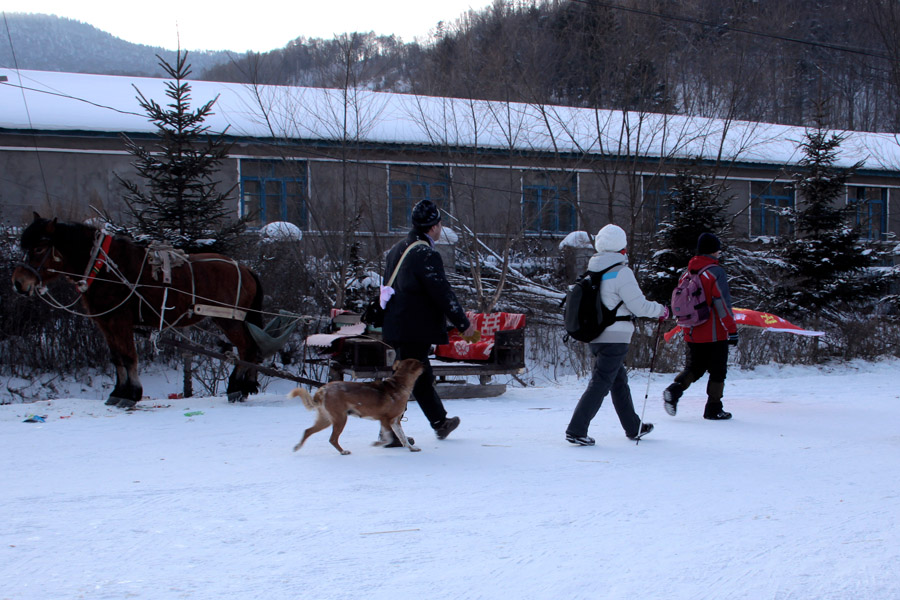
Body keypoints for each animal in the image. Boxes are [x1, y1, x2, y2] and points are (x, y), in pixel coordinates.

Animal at [12, 214, 264, 408]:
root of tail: (245, 268)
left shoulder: (119, 320)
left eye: (39, 247)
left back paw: (236, 387)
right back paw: (244, 385)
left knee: (246, 348)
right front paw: (118, 393)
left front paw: (131, 394)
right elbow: (116, 358)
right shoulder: (105, 322)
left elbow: (128, 356)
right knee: (250, 349)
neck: (105, 267)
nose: (18, 282)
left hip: (230, 320)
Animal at [292, 356, 426, 454]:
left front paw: (412, 448)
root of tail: (323, 389)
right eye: (419, 362)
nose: (425, 363)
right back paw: (343, 452)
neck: (399, 385)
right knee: (332, 439)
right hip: (340, 419)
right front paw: (377, 443)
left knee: (307, 431)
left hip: (326, 419)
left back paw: (297, 447)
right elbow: (389, 438)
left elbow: (402, 437)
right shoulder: (385, 419)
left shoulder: (395, 421)